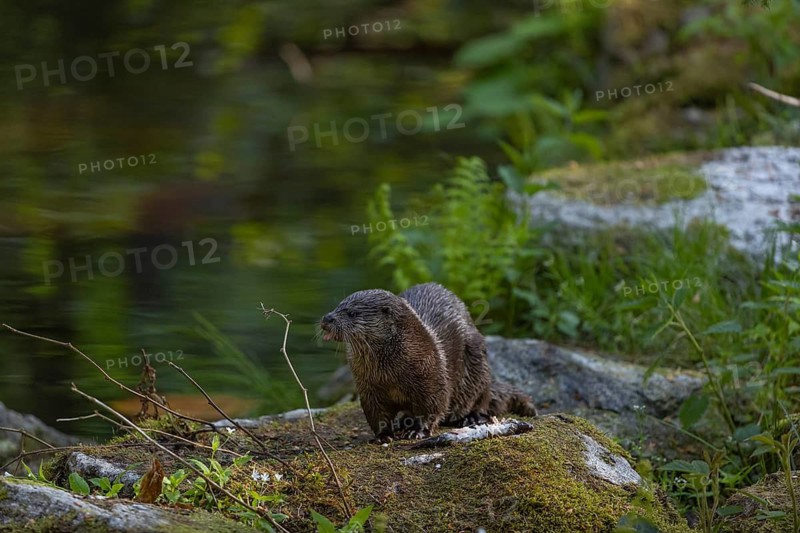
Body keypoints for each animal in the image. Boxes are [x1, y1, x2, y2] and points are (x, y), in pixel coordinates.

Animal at [320, 282, 536, 442]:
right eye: (337, 306)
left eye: (352, 313)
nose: (326, 318)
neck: (391, 374)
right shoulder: (369, 387)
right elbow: (376, 413)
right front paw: (383, 435)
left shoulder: (432, 378)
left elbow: (432, 406)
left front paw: (418, 432)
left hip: (477, 358)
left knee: (483, 395)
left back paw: (472, 417)